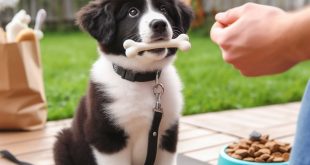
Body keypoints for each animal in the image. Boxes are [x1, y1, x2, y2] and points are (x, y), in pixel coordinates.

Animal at [54, 0, 194, 164]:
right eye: (132, 12)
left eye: (164, 9)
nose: (159, 24)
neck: (142, 78)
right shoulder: (107, 137)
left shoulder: (168, 134)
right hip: (63, 141)